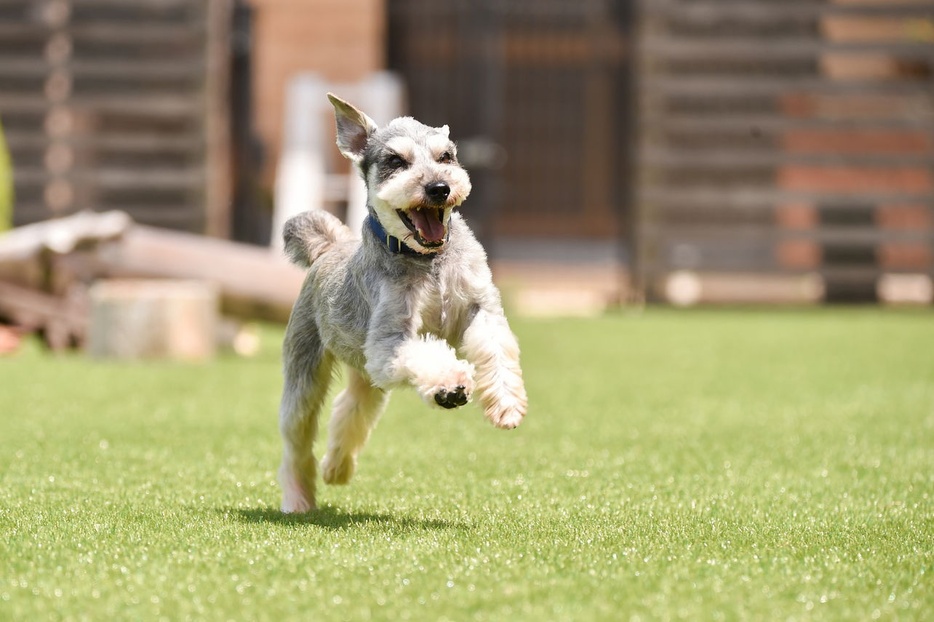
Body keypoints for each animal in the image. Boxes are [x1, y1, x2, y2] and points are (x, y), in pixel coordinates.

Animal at [276, 96, 528, 516]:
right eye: (396, 161)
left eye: (447, 156)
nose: (440, 187)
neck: (428, 261)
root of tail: (328, 247)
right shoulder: (390, 341)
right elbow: (427, 356)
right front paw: (450, 383)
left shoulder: (481, 308)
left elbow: (496, 351)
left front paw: (506, 404)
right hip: (305, 375)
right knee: (296, 441)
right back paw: (298, 499)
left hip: (366, 376)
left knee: (350, 409)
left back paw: (337, 467)